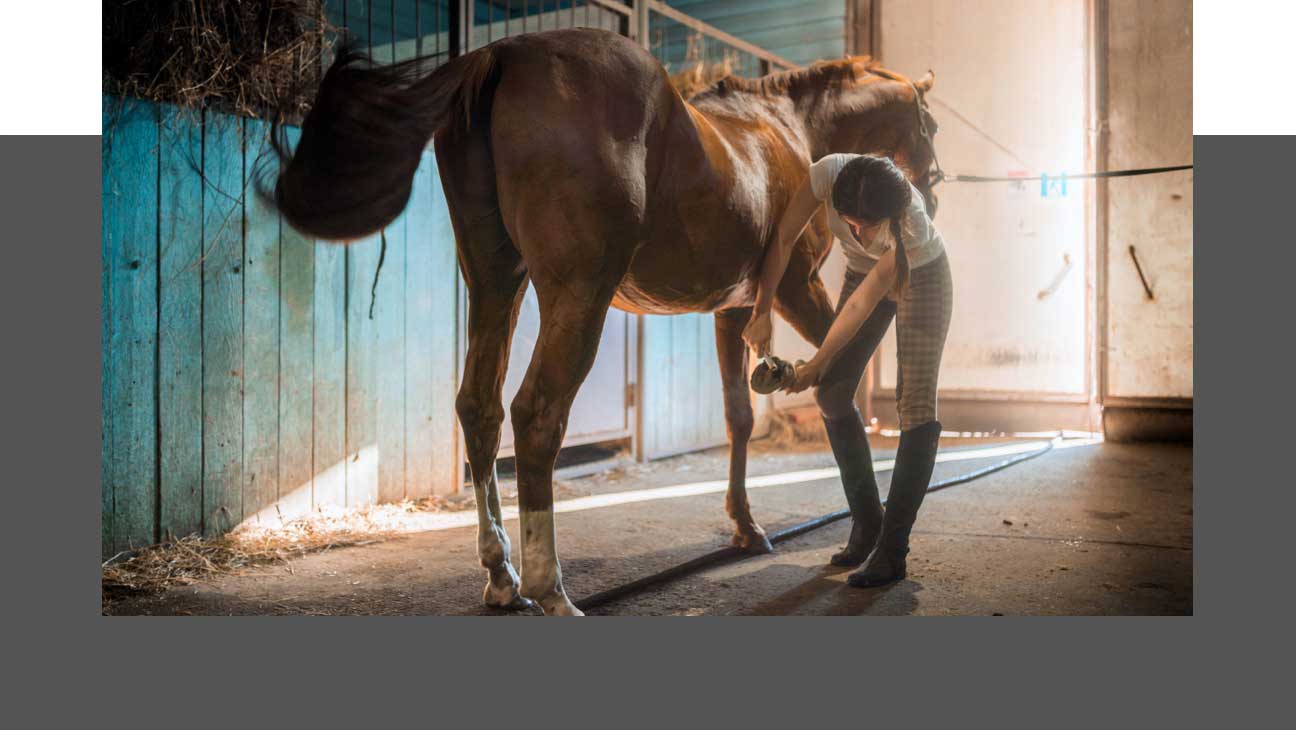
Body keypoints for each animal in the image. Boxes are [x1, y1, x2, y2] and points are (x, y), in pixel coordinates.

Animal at [273, 27, 938, 617]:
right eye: (929, 124)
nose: (930, 188)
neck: (786, 130)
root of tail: (503, 54)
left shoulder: (734, 309)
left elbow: (739, 417)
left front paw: (747, 528)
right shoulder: (796, 290)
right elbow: (838, 375)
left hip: (495, 280)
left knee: (480, 408)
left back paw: (502, 578)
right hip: (577, 295)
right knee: (537, 414)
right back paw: (552, 592)